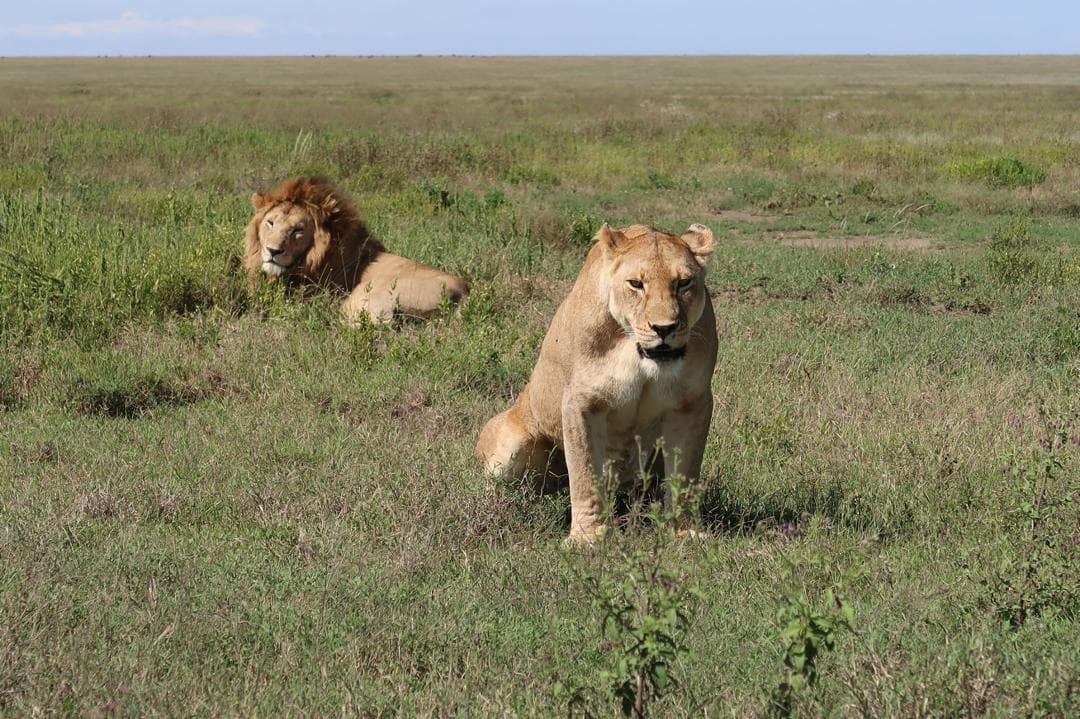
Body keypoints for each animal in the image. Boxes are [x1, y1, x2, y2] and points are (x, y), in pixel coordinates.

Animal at [476, 223, 718, 545]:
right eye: (636, 284)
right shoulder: (582, 402)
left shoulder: (692, 401)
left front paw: (684, 531)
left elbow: (685, 472)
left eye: (683, 283)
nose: (663, 328)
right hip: (511, 444)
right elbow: (585, 473)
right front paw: (588, 537)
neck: (633, 348)